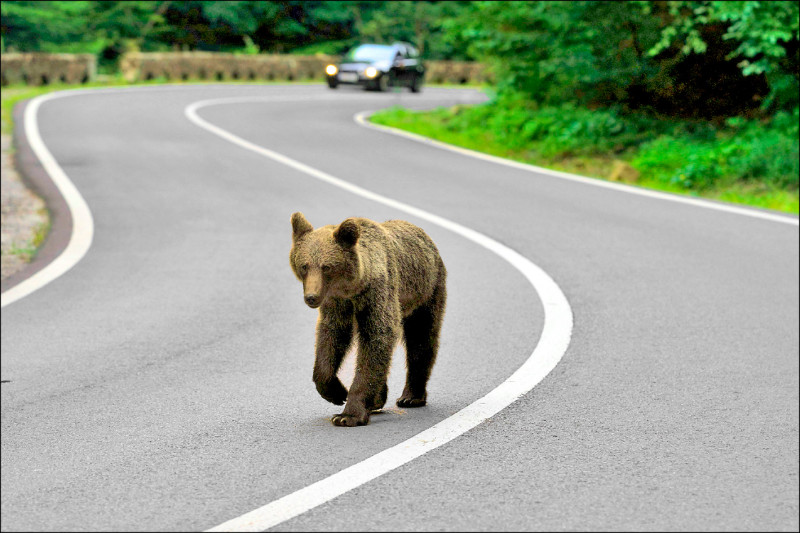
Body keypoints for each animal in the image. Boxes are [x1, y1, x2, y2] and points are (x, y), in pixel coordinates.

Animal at [289, 212, 447, 427]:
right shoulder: (337, 303)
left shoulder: (377, 293)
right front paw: (337, 392)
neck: (353, 288)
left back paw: (411, 396)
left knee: (421, 338)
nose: (311, 297)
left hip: (426, 291)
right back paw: (380, 398)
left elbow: (376, 339)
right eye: (304, 265)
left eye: (326, 267)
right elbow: (330, 339)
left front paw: (348, 415)